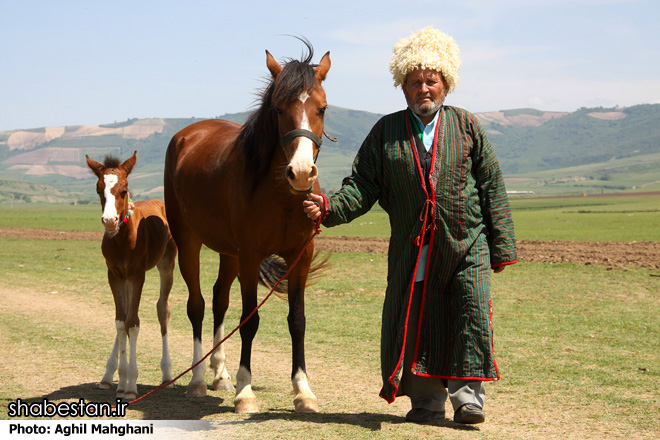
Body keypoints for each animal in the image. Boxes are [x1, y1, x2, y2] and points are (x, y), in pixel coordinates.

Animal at [86, 150, 177, 398]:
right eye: (98, 189)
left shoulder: (137, 274)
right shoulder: (115, 274)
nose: (110, 221)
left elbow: (133, 323)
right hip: (125, 279)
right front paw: (120, 378)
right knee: (125, 314)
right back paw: (109, 376)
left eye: (124, 190)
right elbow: (121, 321)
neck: (123, 240)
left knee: (162, 309)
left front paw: (131, 385)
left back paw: (167, 374)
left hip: (167, 263)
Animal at [163, 41, 332, 412]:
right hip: (189, 242)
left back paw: (220, 375)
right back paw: (198, 380)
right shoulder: (252, 257)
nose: (301, 172)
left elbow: (297, 321)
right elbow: (250, 320)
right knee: (197, 305)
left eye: (323, 108)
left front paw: (303, 391)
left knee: (219, 300)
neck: (282, 197)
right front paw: (245, 391)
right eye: (279, 109)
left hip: (230, 253)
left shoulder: (300, 256)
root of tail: (189, 133)